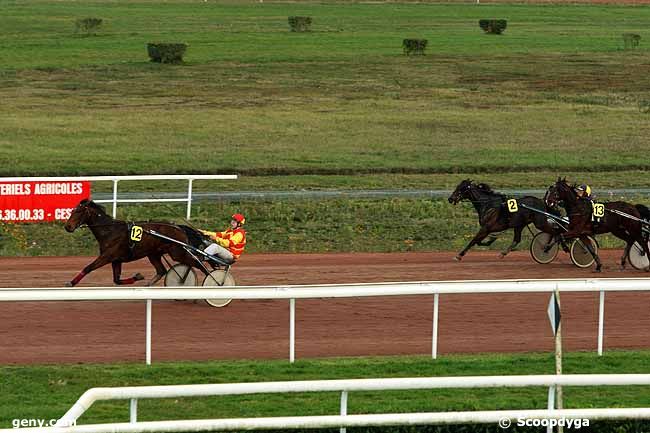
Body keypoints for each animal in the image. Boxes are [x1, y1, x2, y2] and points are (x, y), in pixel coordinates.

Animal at [63, 199, 204, 286]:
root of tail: (179, 228)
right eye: (72, 211)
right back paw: (149, 284)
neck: (110, 230)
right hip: (154, 254)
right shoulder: (116, 260)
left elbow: (88, 268)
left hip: (178, 252)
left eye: (79, 211)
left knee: (199, 263)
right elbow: (117, 280)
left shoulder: (107, 256)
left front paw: (71, 282)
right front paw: (138, 277)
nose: (67, 227)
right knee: (162, 270)